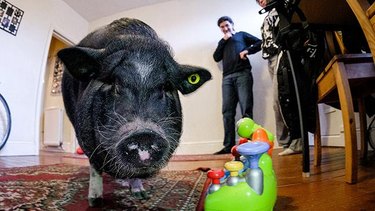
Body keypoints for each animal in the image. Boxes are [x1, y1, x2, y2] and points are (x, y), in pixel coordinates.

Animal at [57, 18, 213, 206]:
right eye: (114, 83)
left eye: (165, 87)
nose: (144, 134)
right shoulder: (85, 136)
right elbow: (95, 167)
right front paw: (95, 202)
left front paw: (141, 195)